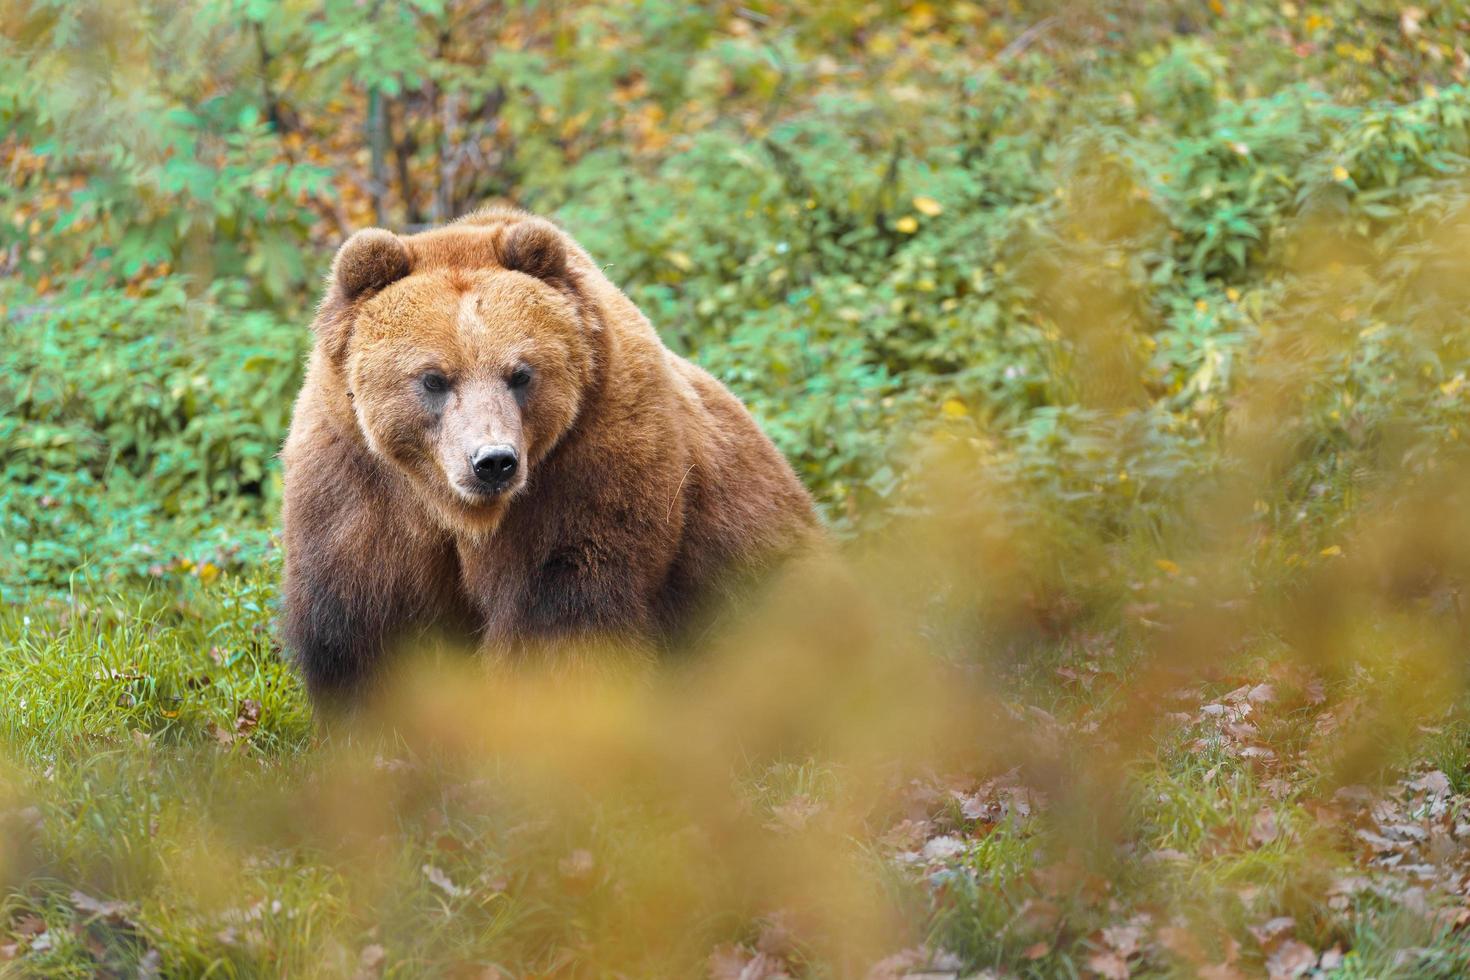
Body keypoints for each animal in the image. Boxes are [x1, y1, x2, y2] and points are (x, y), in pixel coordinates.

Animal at [280, 207, 823, 705]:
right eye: (434, 378)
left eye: (520, 373)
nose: (493, 461)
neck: (459, 511)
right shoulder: (356, 485)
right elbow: (364, 627)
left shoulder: (586, 471)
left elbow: (557, 616)